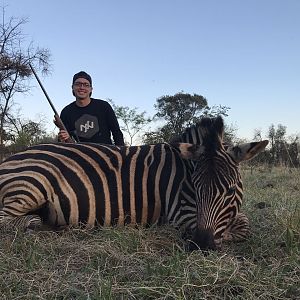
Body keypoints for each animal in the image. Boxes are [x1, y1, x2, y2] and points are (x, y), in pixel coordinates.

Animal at [0, 117, 268, 251]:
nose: (201, 245)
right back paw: (45, 226)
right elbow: (243, 224)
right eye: (196, 189)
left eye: (230, 191)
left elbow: (243, 222)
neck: (185, 169)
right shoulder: (181, 215)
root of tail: (9, 159)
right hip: (30, 186)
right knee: (10, 221)